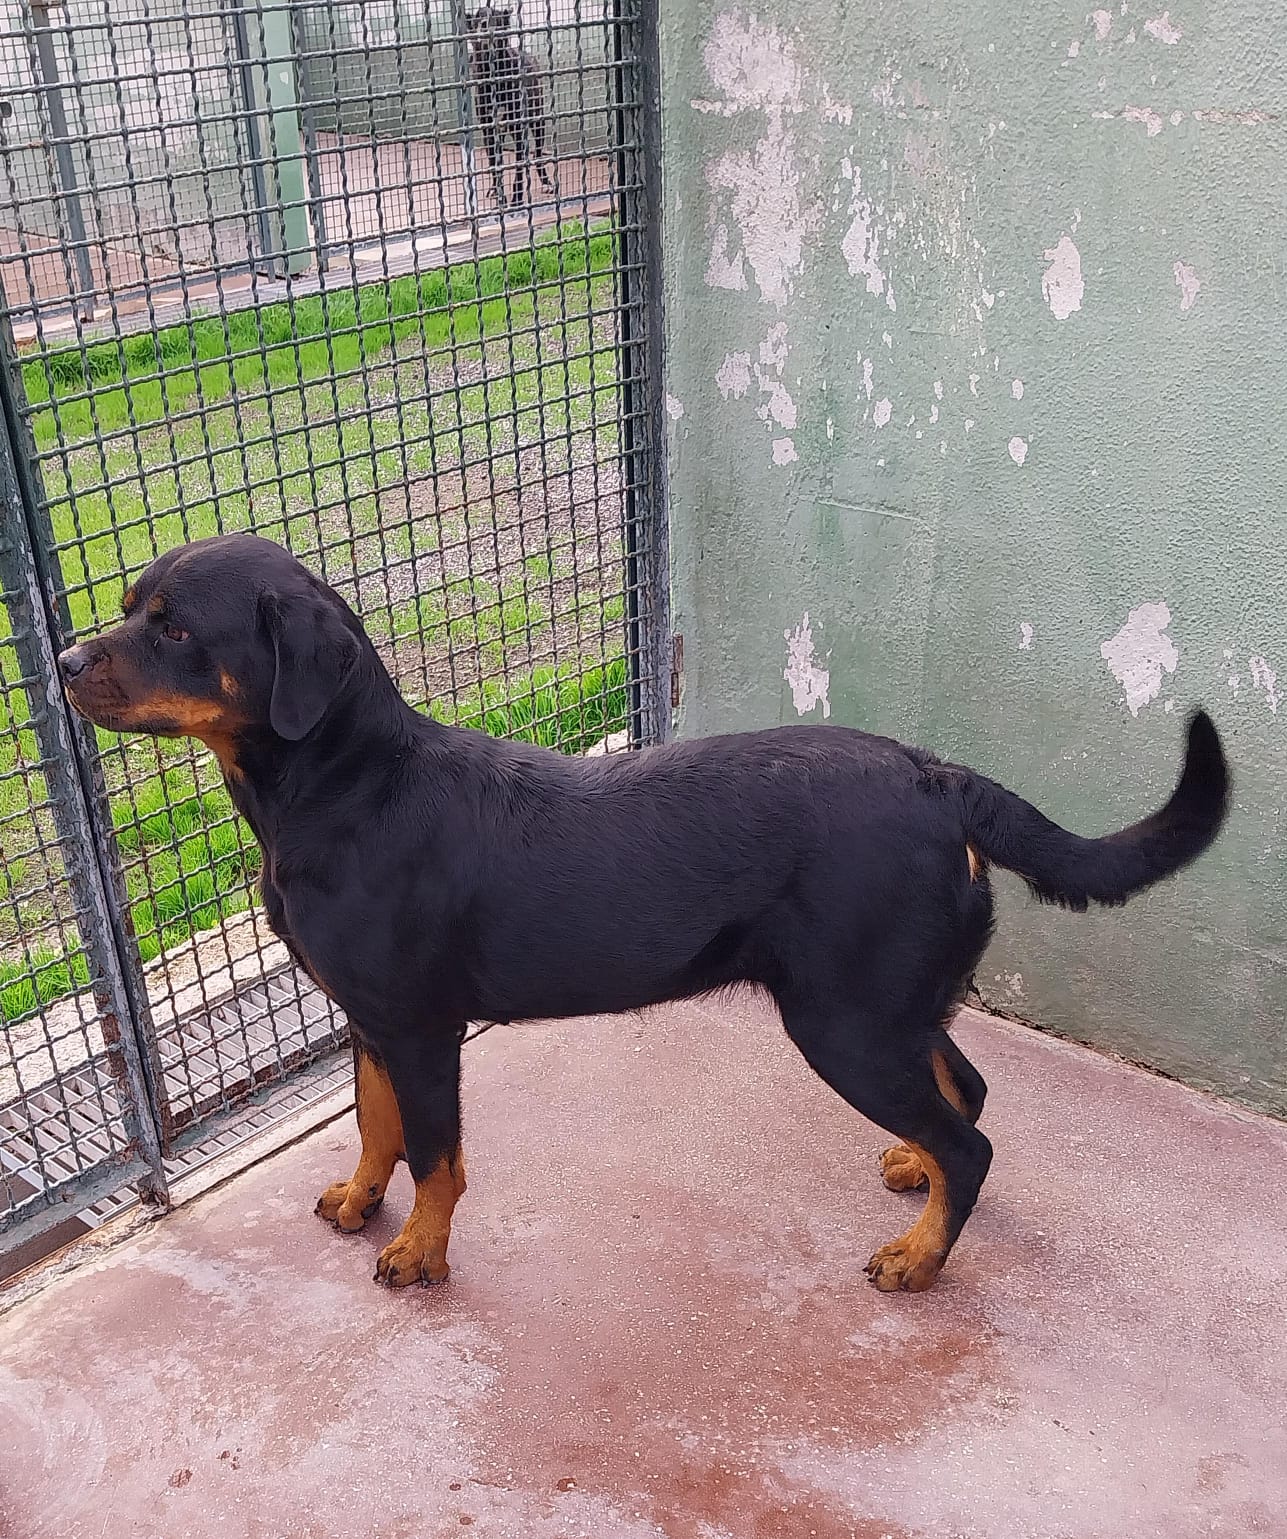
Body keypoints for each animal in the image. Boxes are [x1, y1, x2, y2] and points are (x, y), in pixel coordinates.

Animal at [59, 535, 1230, 1292]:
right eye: (131, 606)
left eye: (173, 627)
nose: (64, 660)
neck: (346, 785)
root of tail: (939, 777)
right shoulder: (368, 1017)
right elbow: (375, 1121)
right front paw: (357, 1200)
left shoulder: (422, 1025)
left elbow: (437, 1151)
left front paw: (420, 1253)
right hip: (888, 1002)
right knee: (966, 1091)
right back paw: (915, 1172)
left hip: (844, 1020)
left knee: (972, 1139)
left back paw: (919, 1257)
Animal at [464, 5, 556, 211]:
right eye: (478, 17)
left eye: (497, 17)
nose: (485, 25)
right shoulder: (490, 133)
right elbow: (495, 167)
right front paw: (500, 197)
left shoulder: (519, 130)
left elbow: (518, 170)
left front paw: (516, 200)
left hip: (538, 123)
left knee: (538, 155)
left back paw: (546, 183)